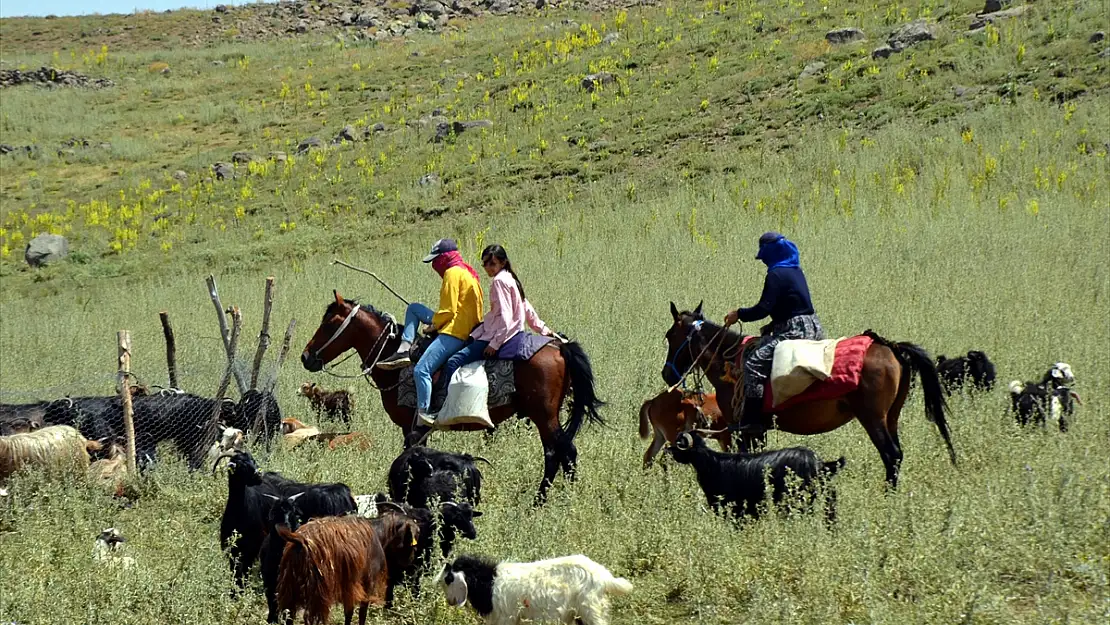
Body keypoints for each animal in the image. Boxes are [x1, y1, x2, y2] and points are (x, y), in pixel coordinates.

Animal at [275, 512, 417, 625]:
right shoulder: (367, 582)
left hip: (289, 584)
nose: (410, 560)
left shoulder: (348, 586)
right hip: (318, 589)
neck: (378, 534)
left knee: (289, 614)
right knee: (309, 617)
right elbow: (362, 612)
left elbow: (348, 612)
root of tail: (299, 539)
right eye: (412, 537)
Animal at [299, 293, 603, 503]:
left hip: (544, 415)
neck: (394, 361)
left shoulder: (412, 428)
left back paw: (546, 502)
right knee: (559, 454)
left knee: (562, 453)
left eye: (328, 324)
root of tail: (559, 346)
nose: (306, 357)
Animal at [439, 552, 634, 625]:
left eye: (449, 580)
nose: (450, 601)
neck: (489, 583)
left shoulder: (507, 618)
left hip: (591, 610)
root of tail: (604, 577)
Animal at [661, 304, 959, 488]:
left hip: (873, 418)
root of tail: (891, 347)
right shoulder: (757, 430)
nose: (667, 375)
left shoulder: (742, 429)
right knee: (896, 455)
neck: (731, 361)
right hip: (891, 417)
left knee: (891, 455)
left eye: (669, 334)